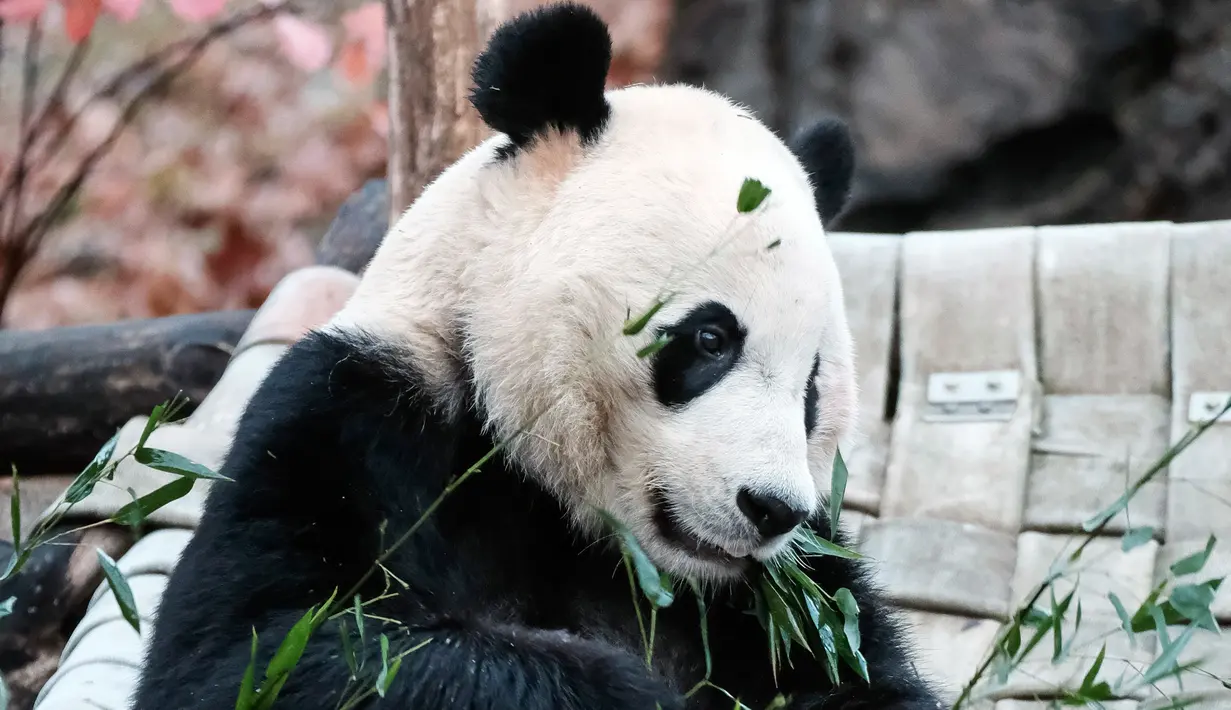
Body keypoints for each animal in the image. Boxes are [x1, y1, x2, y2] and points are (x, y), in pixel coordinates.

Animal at [132, 4, 944, 710]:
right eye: (711, 339)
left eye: (813, 387)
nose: (772, 508)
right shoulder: (355, 418)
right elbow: (262, 647)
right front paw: (625, 689)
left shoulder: (793, 587)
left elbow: (854, 668)